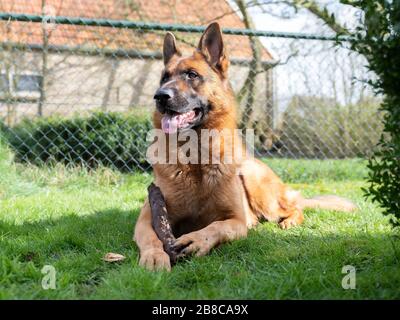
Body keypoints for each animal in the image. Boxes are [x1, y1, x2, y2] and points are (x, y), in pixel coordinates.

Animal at [134, 22, 356, 270]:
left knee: (294, 208)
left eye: (192, 75)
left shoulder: (236, 220)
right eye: (164, 78)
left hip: (253, 179)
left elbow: (216, 227)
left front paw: (197, 240)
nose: (160, 96)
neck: (196, 158)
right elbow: (152, 236)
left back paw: (288, 221)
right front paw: (154, 255)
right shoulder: (146, 217)